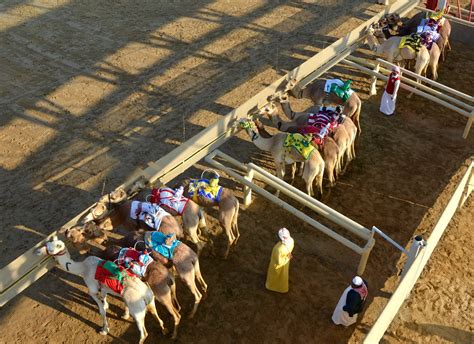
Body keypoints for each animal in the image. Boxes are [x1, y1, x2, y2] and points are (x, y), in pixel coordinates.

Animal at [34, 236, 167, 344]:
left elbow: (102, 310)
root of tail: (145, 294)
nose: (38, 251)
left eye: (50, 249)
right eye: (47, 244)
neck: (82, 269)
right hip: (150, 301)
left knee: (144, 333)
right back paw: (163, 331)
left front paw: (104, 330)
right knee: (157, 316)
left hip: (137, 310)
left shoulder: (92, 290)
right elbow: (104, 298)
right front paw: (108, 306)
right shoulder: (103, 288)